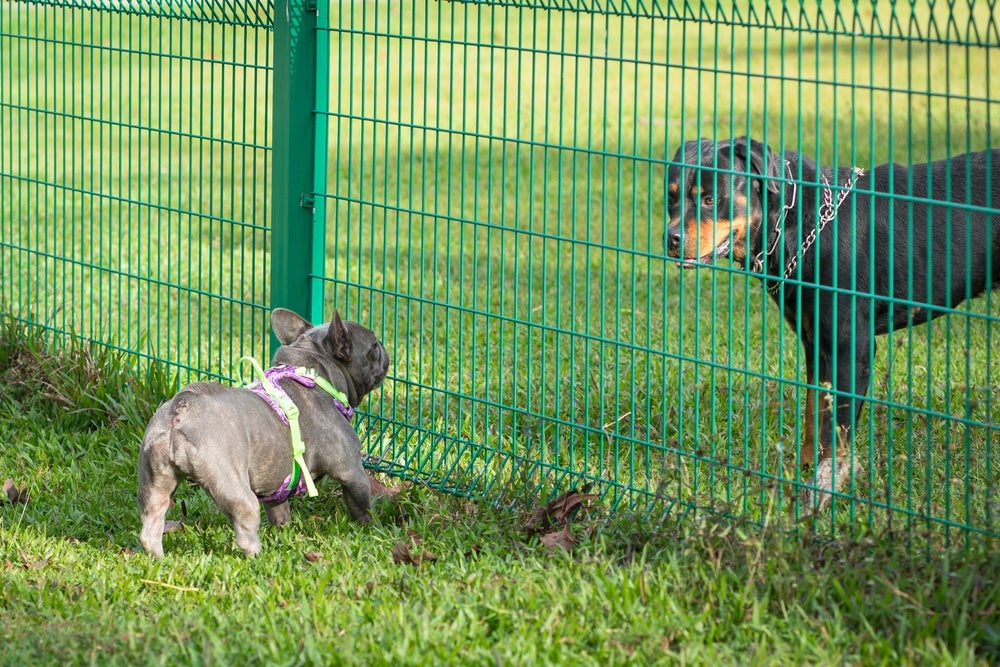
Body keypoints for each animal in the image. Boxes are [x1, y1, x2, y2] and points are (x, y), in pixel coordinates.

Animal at [664, 138, 1000, 508]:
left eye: (711, 199)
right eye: (671, 198)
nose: (672, 238)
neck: (796, 223)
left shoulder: (850, 350)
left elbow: (836, 430)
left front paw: (825, 488)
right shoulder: (816, 344)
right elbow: (815, 415)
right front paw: (804, 469)